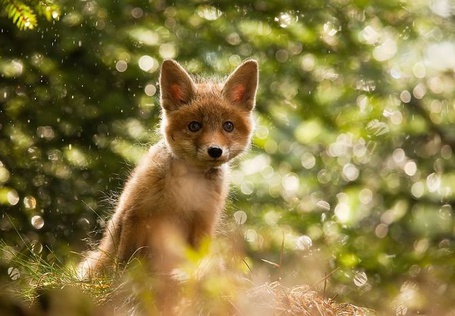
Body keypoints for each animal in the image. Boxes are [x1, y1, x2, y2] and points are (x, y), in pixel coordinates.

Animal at [79, 59, 258, 282]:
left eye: (228, 126)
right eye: (194, 126)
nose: (215, 151)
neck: (186, 186)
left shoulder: (203, 221)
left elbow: (196, 262)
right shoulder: (135, 213)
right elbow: (125, 262)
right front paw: (122, 281)